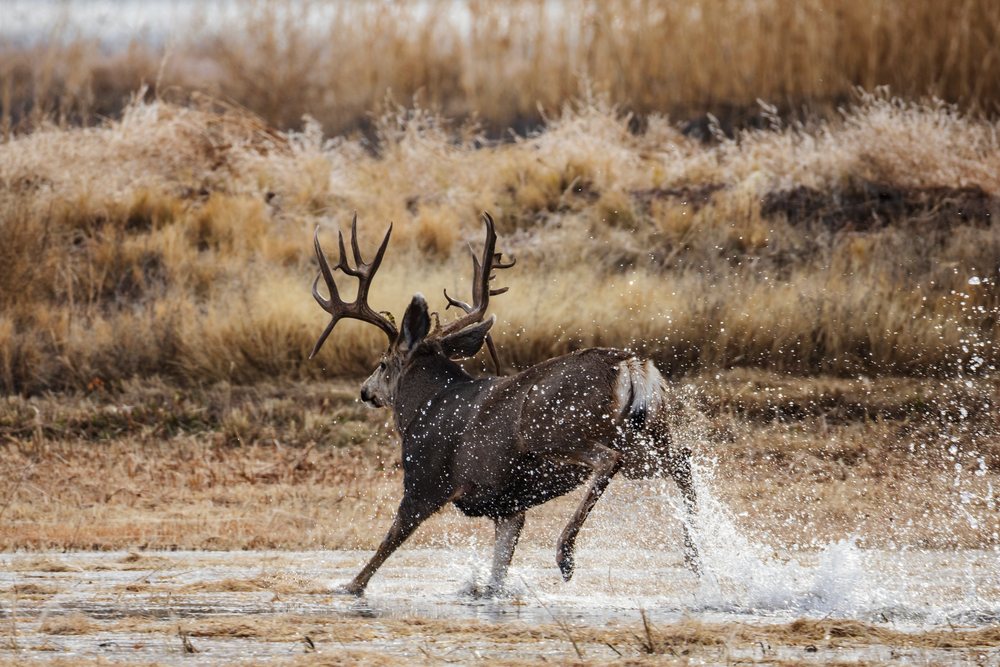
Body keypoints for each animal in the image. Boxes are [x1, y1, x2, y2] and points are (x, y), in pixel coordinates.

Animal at [310, 212, 700, 596]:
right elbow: (497, 574)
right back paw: (694, 554)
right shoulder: (508, 505)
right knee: (682, 460)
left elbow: (385, 546)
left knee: (609, 459)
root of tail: (629, 364)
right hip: (646, 437)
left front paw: (348, 586)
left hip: (554, 428)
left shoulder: (425, 480)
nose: (365, 391)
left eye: (382, 363)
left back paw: (566, 554)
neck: (425, 407)